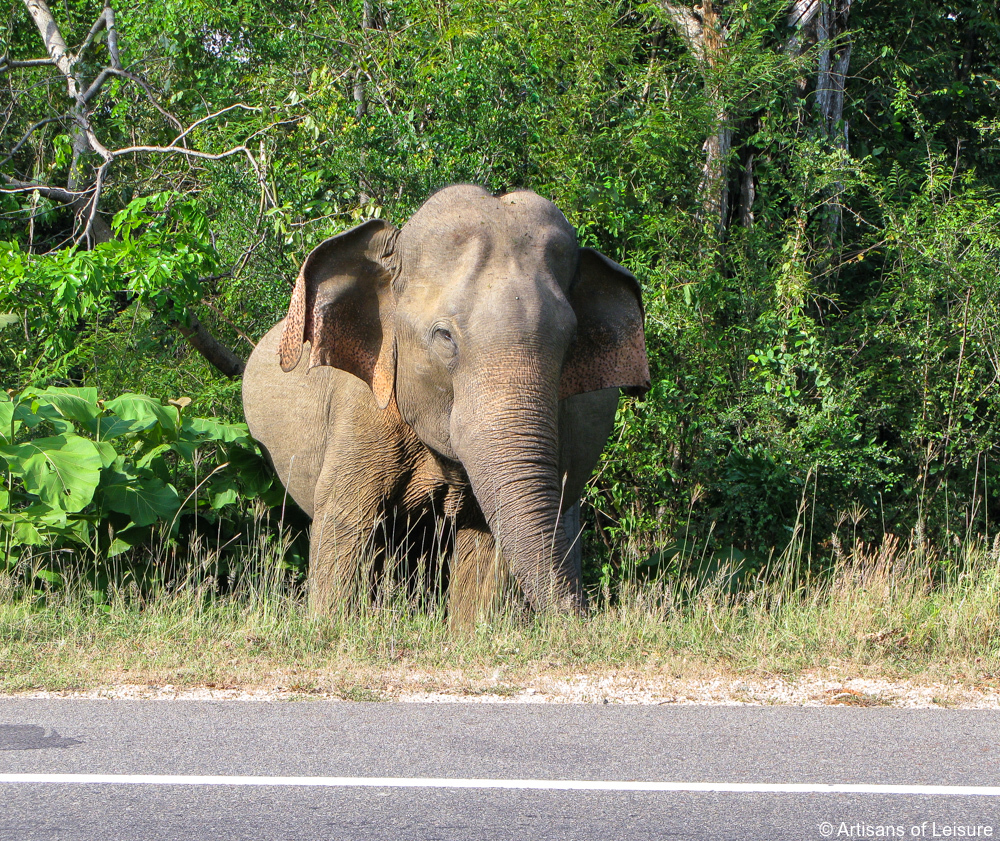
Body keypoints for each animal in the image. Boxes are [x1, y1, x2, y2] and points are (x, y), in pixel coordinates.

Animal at [241, 184, 648, 620]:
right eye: (444, 336)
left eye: (571, 340)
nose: (582, 615)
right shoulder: (360, 412)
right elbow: (344, 522)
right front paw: (330, 623)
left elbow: (485, 546)